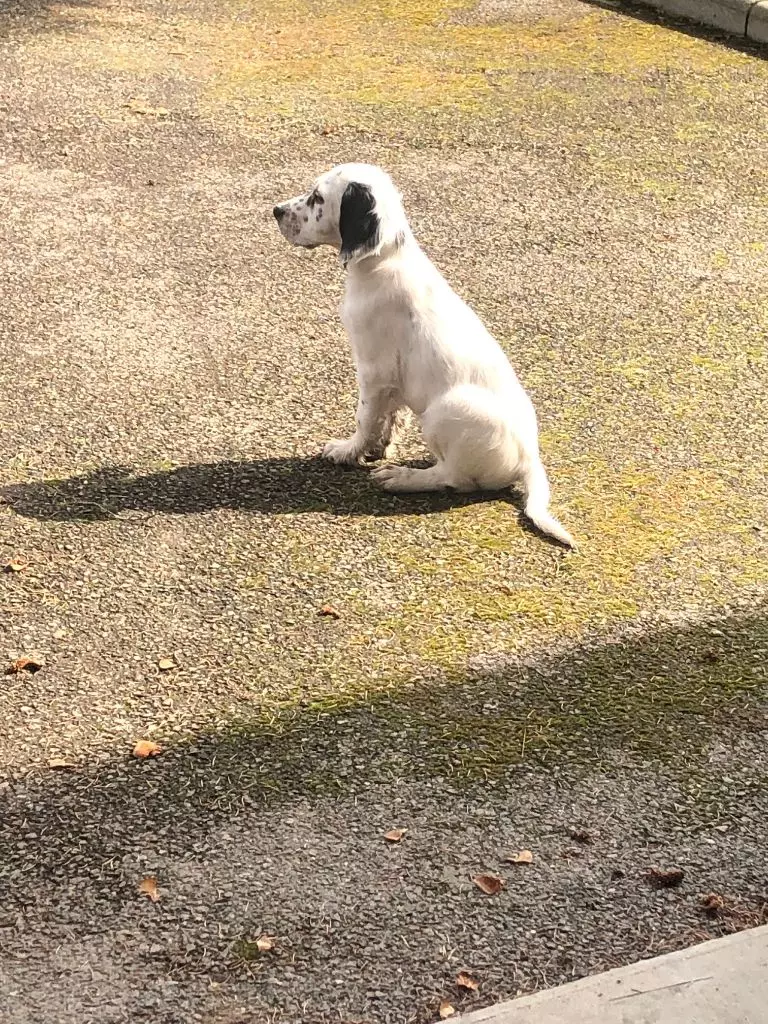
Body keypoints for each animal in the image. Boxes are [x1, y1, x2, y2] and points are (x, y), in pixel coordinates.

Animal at [274, 163, 573, 548]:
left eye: (318, 198)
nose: (275, 211)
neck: (383, 260)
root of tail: (530, 461)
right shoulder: (391, 380)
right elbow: (389, 416)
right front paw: (378, 447)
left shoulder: (372, 370)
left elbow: (364, 418)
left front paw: (348, 451)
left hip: (443, 412)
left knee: (454, 479)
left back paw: (402, 478)